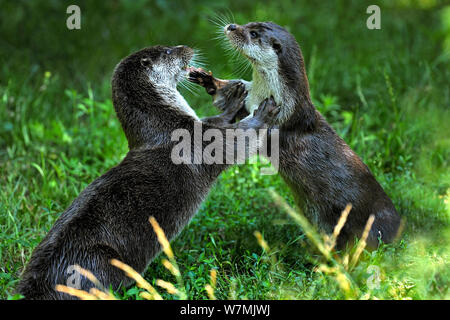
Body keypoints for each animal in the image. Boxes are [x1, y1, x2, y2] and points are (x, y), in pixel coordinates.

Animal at [16, 45, 278, 300]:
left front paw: (235, 99)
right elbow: (236, 141)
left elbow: (217, 120)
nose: (186, 47)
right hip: (99, 264)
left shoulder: (198, 124)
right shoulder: (198, 142)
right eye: (169, 51)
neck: (166, 128)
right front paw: (263, 112)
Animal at [190, 21, 400, 248]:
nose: (231, 26)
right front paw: (208, 79)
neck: (268, 94)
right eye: (248, 24)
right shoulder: (248, 96)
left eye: (253, 34)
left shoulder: (281, 121)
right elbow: (226, 100)